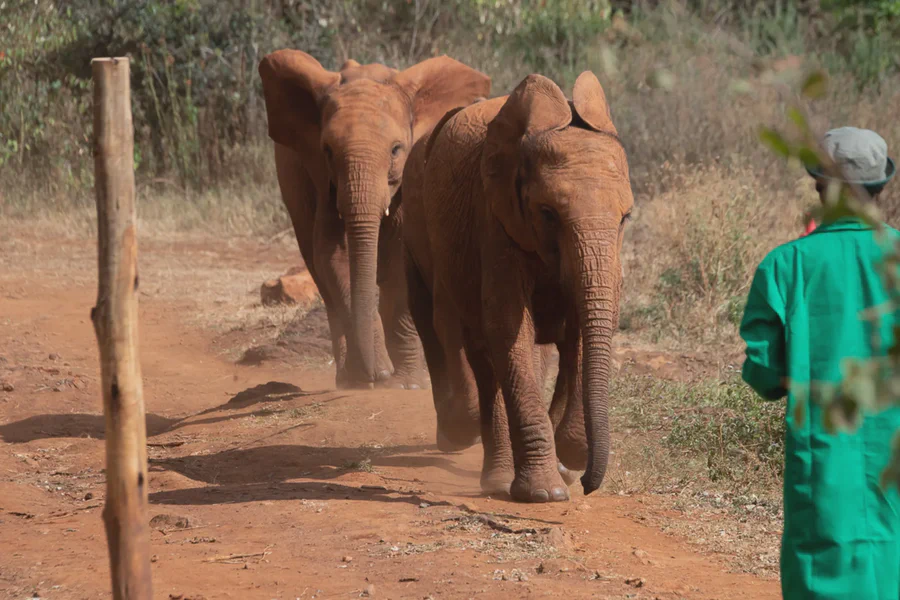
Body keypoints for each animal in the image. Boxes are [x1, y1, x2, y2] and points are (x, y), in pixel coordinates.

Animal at [258, 50, 491, 389]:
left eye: (396, 150)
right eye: (327, 151)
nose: (378, 375)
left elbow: (399, 265)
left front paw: (406, 383)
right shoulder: (324, 180)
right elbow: (333, 256)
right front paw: (374, 374)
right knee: (318, 272)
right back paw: (347, 378)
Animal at [402, 71, 633, 502]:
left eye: (626, 218)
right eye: (548, 213)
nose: (589, 486)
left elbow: (584, 325)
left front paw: (569, 457)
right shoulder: (493, 218)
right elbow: (509, 326)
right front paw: (546, 493)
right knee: (480, 354)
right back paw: (498, 480)